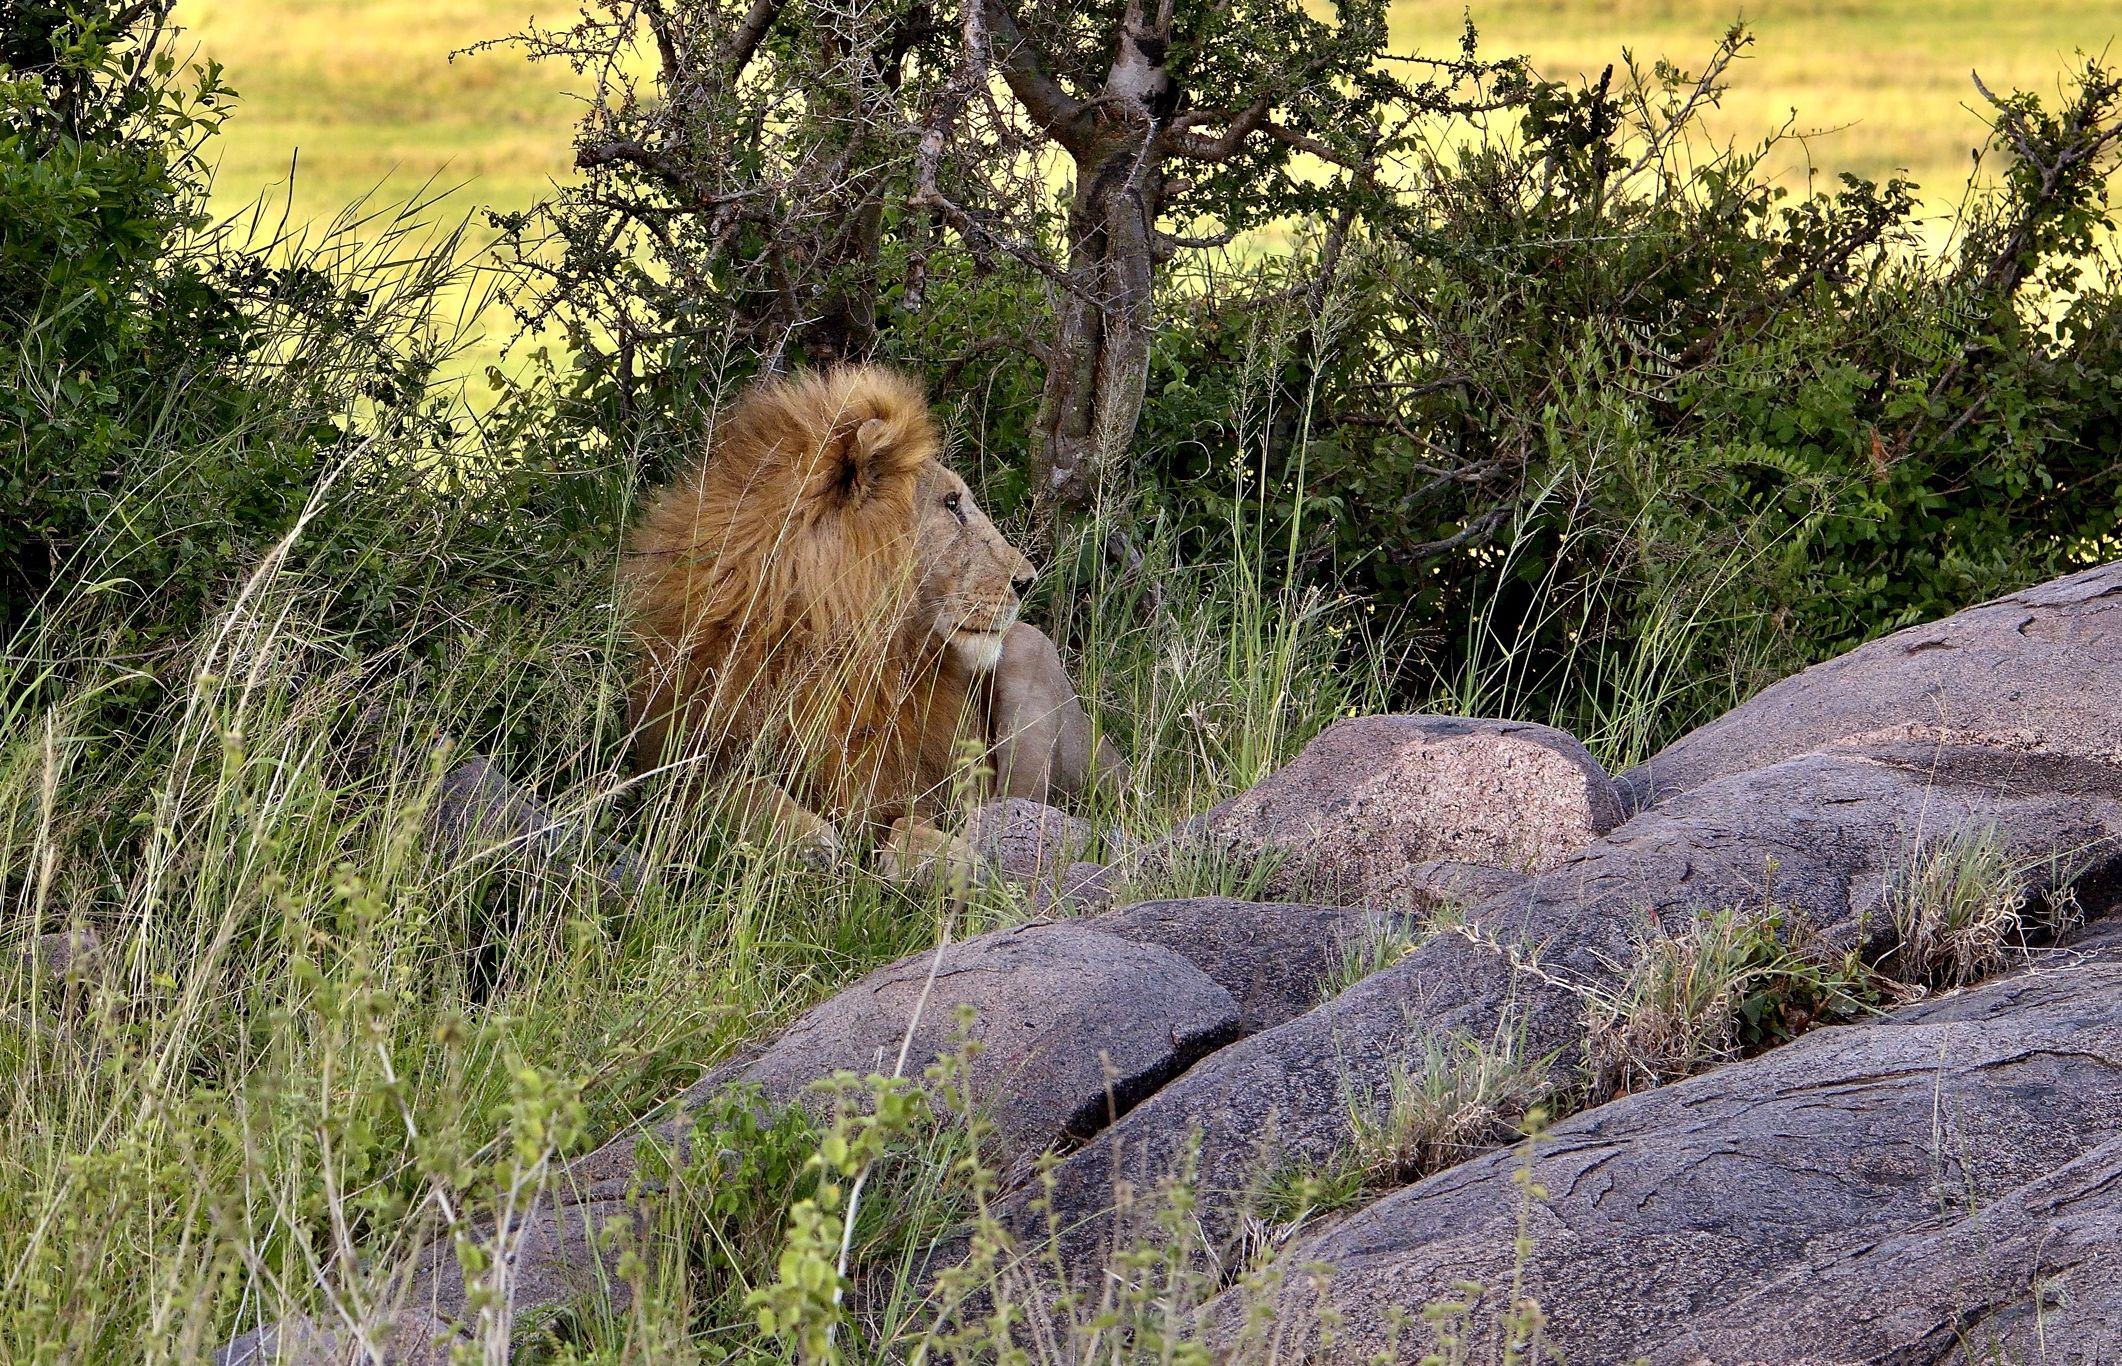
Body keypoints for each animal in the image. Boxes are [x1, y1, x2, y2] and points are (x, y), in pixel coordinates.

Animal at [621, 364, 1127, 875]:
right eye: (951, 504)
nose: (1027, 580)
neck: (841, 645)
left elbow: (909, 823)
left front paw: (939, 856)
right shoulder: (672, 754)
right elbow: (736, 794)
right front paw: (808, 841)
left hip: (1028, 654)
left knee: (1020, 808)